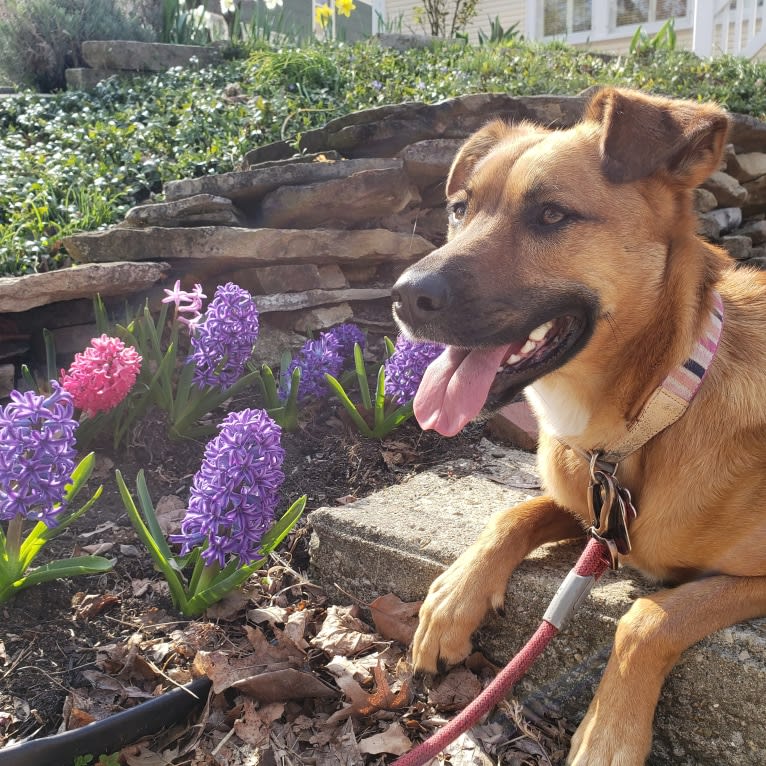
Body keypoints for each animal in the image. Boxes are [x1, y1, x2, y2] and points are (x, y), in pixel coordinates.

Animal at [392, 90, 766, 766]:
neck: (651, 415)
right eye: (460, 210)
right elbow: (514, 511)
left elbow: (648, 617)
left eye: (551, 215)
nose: (404, 296)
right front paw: (453, 598)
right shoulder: (592, 510)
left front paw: (608, 734)